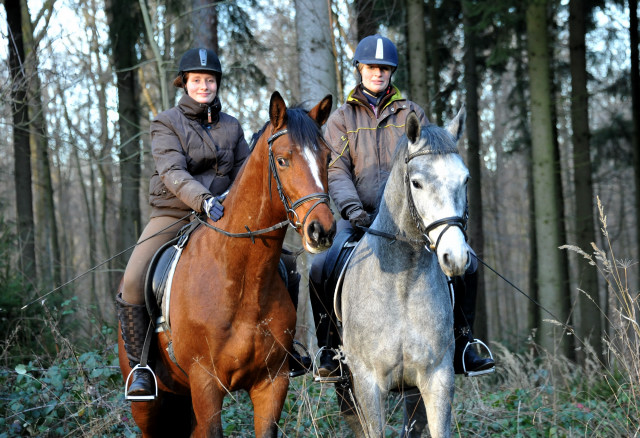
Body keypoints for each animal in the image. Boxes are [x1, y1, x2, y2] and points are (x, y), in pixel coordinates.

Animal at [119, 90, 336, 436]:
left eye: (327, 158)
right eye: (283, 159)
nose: (322, 230)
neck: (241, 280)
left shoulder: (272, 384)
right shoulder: (206, 384)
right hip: (149, 407)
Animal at [340, 108, 470, 438]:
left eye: (465, 179)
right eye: (416, 183)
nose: (456, 257)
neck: (402, 282)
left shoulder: (437, 377)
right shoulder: (367, 383)